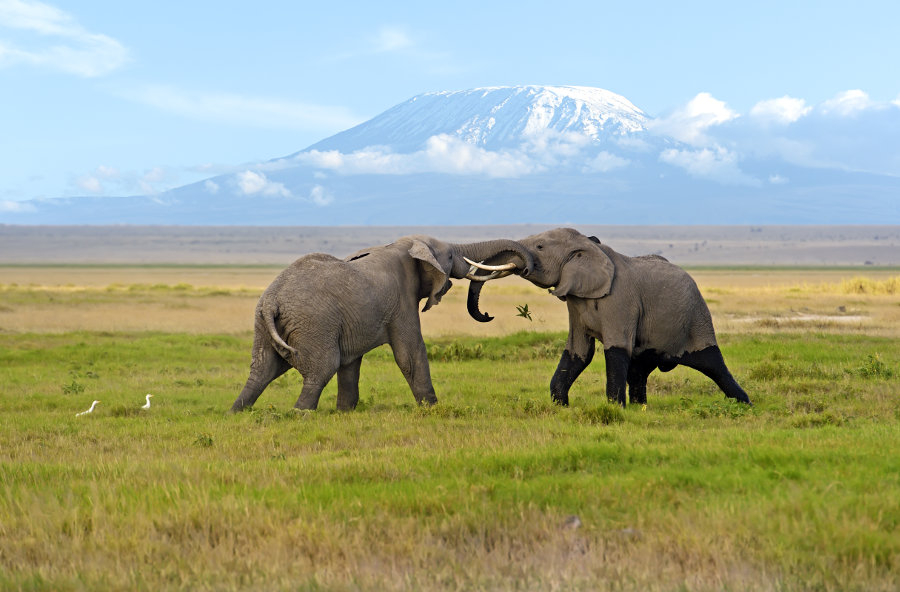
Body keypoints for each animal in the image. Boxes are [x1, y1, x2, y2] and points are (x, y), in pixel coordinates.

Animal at [230, 235, 533, 412]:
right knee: (322, 368)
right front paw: (432, 410)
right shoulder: (402, 301)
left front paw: (345, 412)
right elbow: (410, 355)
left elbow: (351, 364)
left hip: (264, 324)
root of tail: (272, 301)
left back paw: (237, 412)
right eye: (449, 257)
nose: (488, 315)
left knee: (263, 370)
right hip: (313, 324)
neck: (405, 245)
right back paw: (300, 414)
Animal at [466, 227, 751, 408]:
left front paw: (615, 409)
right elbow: (578, 352)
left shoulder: (620, 300)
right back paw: (640, 408)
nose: (487, 314)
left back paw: (745, 404)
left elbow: (615, 350)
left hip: (697, 316)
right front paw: (561, 407)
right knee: (639, 369)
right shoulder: (575, 302)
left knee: (713, 364)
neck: (590, 247)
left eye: (539, 246)